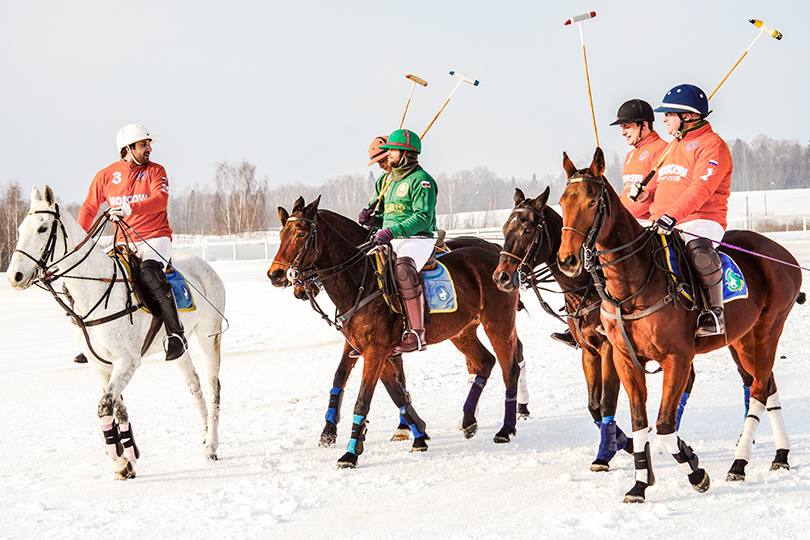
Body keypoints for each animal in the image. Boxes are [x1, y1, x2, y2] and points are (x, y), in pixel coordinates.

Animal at [7, 187, 226, 480]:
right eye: (19, 229)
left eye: (43, 228)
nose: (15, 276)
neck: (93, 293)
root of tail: (204, 263)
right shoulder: (100, 365)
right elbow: (117, 408)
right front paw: (128, 459)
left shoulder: (127, 361)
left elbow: (104, 406)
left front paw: (120, 461)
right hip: (179, 346)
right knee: (193, 382)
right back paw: (204, 434)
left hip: (210, 336)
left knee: (214, 386)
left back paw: (212, 445)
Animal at [268, 197, 520, 468]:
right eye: (281, 234)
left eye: (301, 233)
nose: (275, 274)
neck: (360, 282)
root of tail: (497, 254)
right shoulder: (367, 348)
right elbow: (392, 392)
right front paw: (417, 435)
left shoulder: (376, 351)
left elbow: (364, 400)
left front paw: (350, 454)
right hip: (462, 331)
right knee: (484, 362)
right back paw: (469, 421)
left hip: (498, 323)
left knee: (510, 369)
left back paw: (505, 430)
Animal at [552, 148, 800, 502]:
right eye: (562, 201)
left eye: (591, 201)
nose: (567, 260)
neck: (633, 285)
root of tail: (785, 255)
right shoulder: (624, 358)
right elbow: (639, 421)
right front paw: (640, 484)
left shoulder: (677, 358)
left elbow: (666, 424)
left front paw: (696, 473)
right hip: (743, 338)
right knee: (765, 385)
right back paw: (780, 455)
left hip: (770, 326)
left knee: (759, 390)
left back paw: (739, 463)